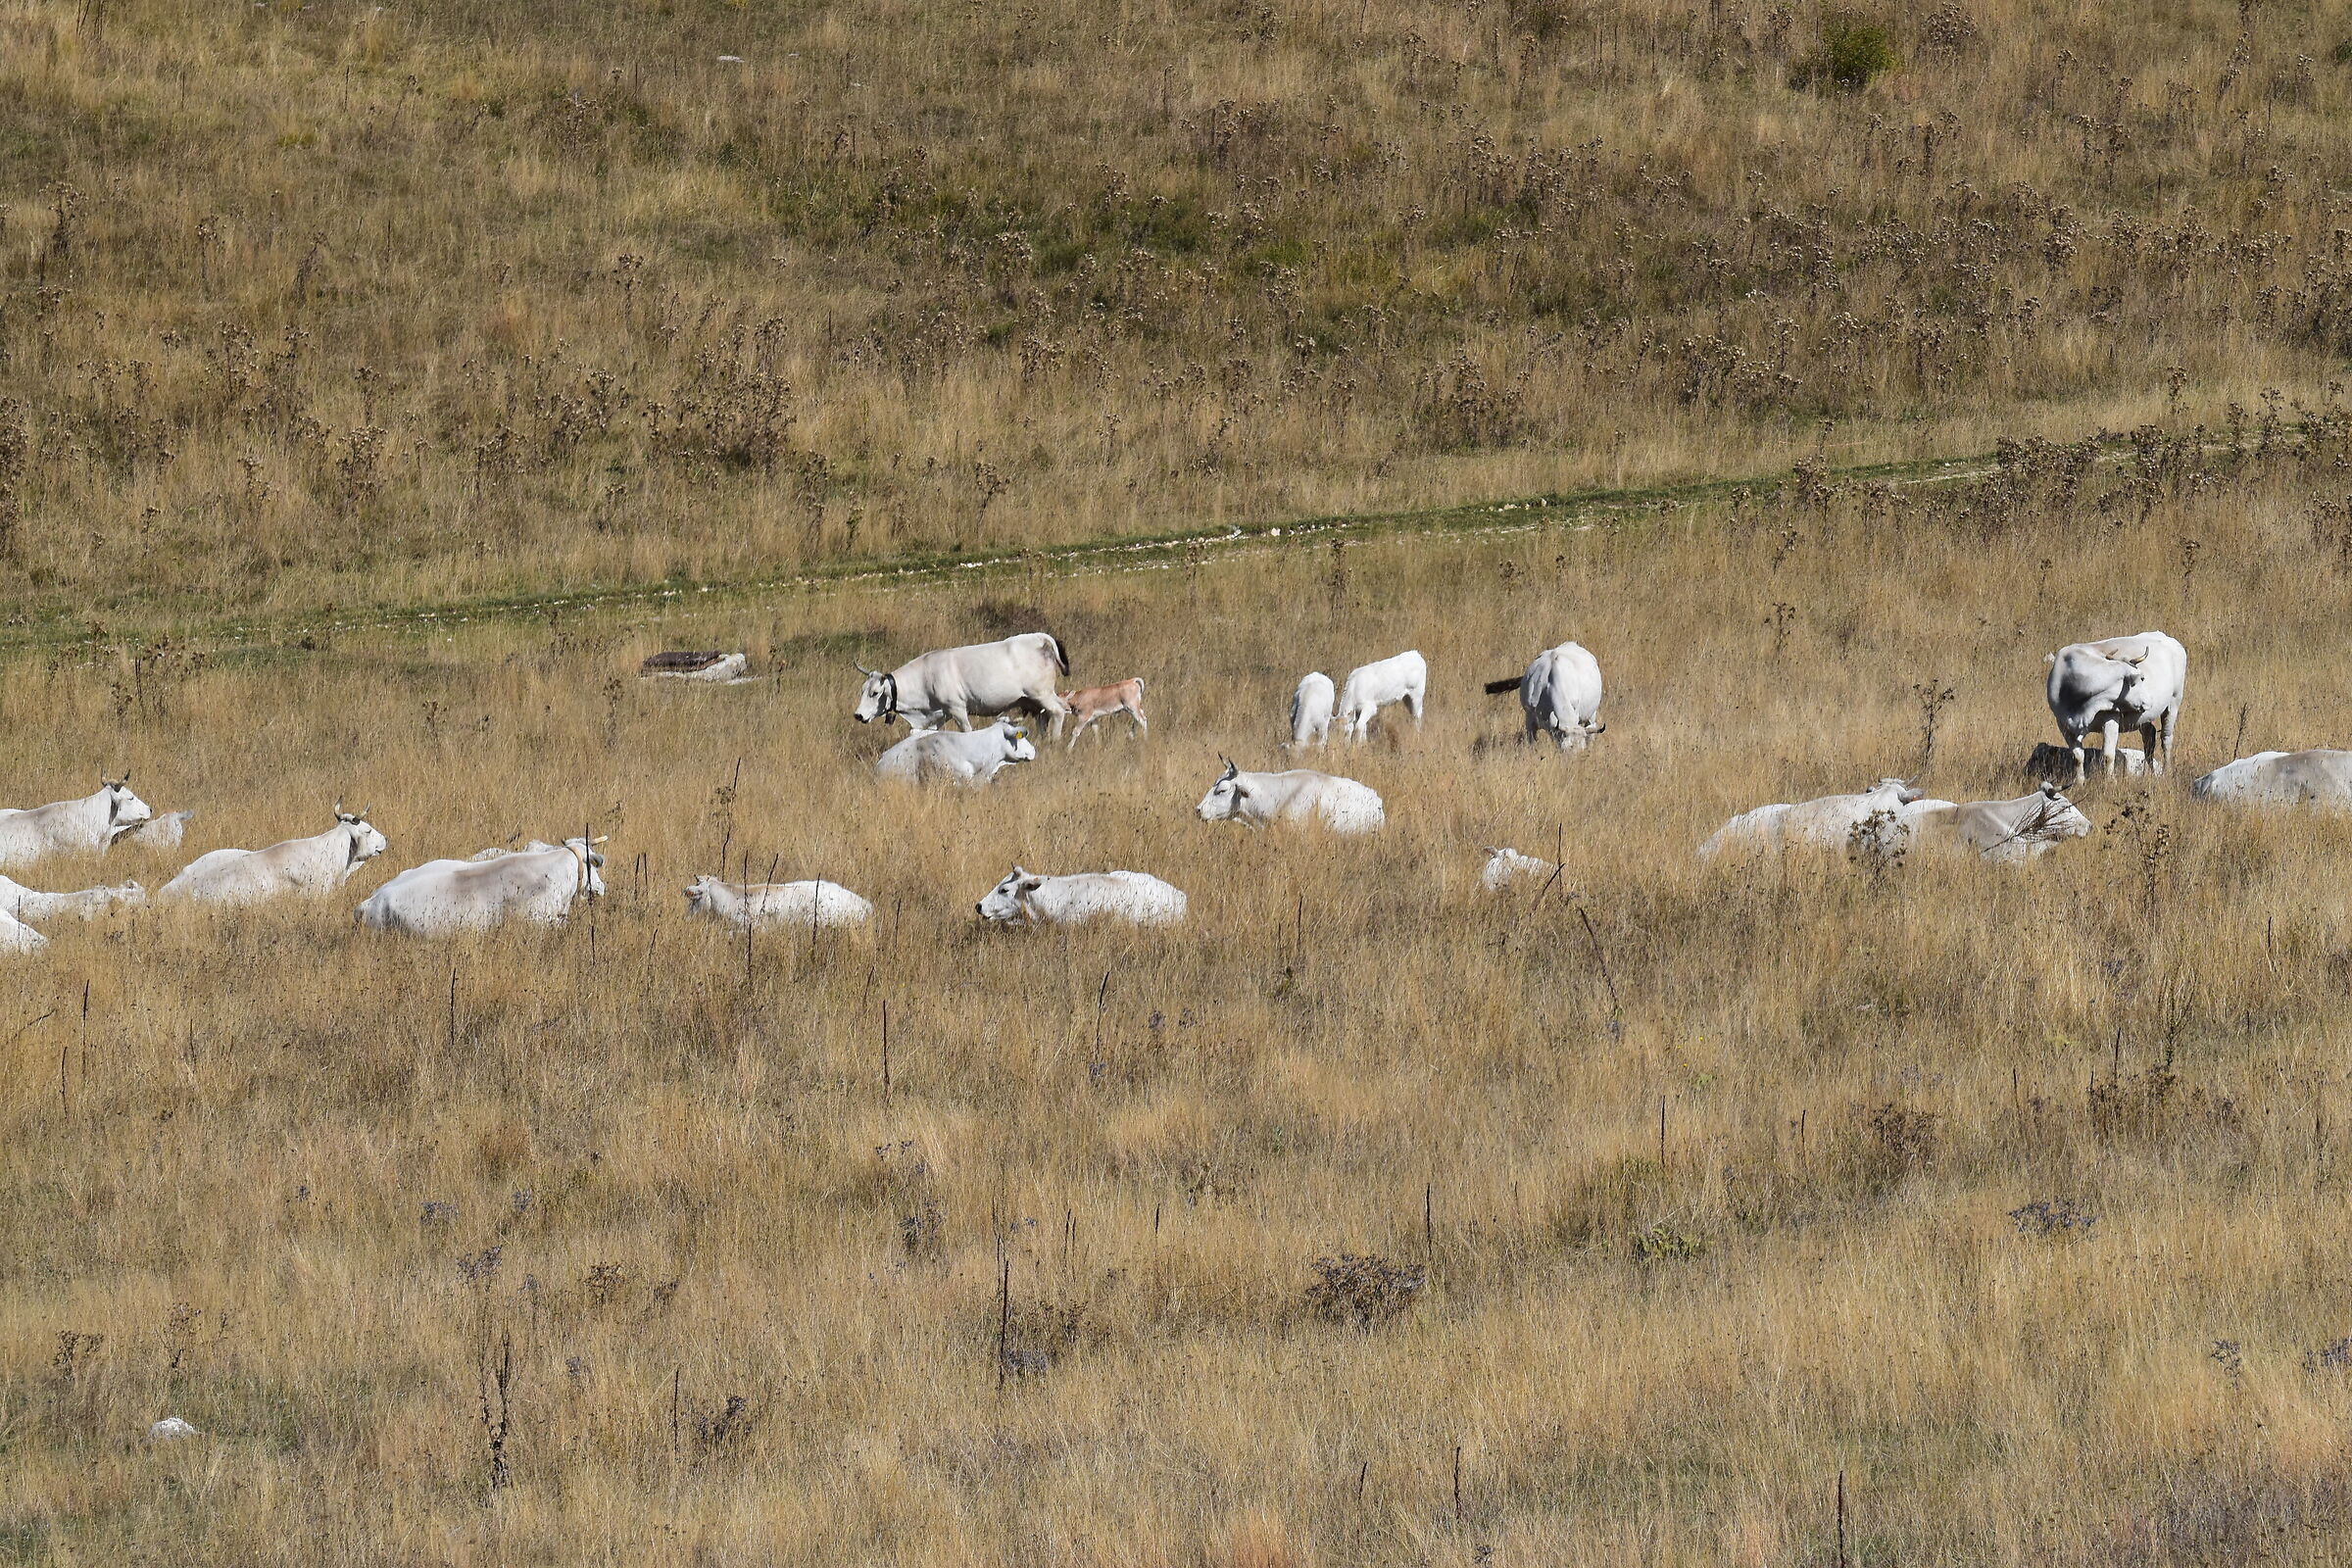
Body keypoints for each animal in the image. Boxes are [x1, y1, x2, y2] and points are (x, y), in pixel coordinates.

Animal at [853, 632, 1071, 734]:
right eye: (862, 689)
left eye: (874, 693)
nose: (858, 715)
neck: (926, 677)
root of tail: (1039, 638)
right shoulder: (941, 713)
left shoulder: (957, 709)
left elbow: (966, 731)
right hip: (1033, 700)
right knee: (1045, 716)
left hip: (1041, 693)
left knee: (1059, 711)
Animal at [2045, 631, 2187, 781]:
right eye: (2142, 678)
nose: (2150, 702)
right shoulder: (2063, 724)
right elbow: (2077, 756)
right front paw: (2080, 782)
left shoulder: (2111, 716)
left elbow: (2108, 755)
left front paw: (2109, 781)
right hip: (2144, 717)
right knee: (2149, 736)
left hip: (2174, 701)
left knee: (2166, 738)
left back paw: (2167, 771)